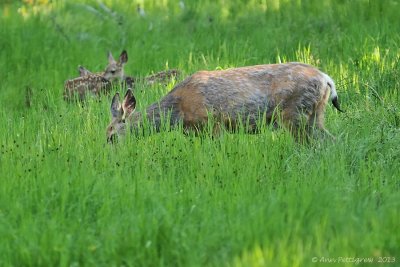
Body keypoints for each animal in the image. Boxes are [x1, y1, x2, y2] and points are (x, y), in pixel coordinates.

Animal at [106, 62, 344, 143]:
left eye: (111, 136)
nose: (108, 154)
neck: (177, 111)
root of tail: (327, 79)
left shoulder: (214, 124)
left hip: (295, 115)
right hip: (314, 115)